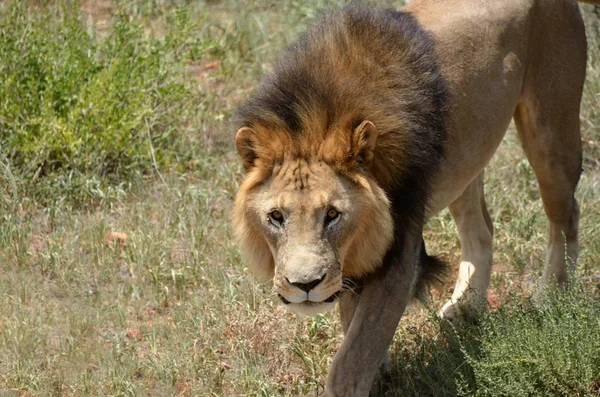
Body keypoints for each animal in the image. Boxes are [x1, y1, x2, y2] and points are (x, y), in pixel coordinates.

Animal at [230, 0, 596, 394]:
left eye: (332, 215)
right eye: (276, 217)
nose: (305, 285)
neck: (325, 112)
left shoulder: (399, 252)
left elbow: (352, 356)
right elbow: (352, 322)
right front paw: (381, 368)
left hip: (551, 129)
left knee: (566, 214)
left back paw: (550, 297)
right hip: (465, 159)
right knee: (481, 228)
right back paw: (466, 307)